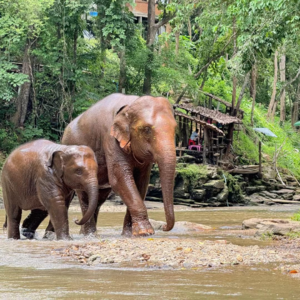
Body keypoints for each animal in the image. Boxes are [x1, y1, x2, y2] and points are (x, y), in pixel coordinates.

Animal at [49, 94, 177, 237]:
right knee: (84, 196)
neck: (131, 103)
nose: (164, 227)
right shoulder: (110, 139)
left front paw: (129, 234)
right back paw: (89, 234)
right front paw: (145, 232)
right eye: (147, 129)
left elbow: (141, 182)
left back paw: (86, 233)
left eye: (175, 128)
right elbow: (119, 179)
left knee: (99, 199)